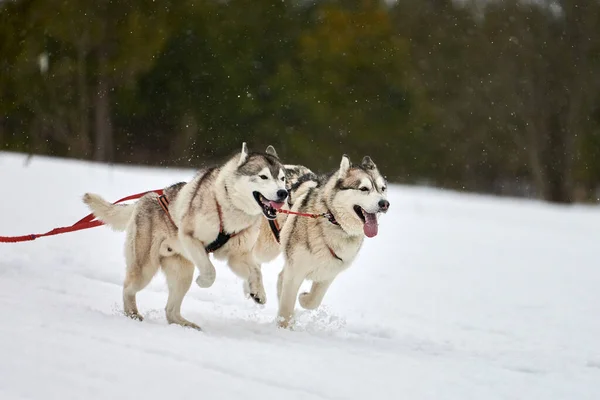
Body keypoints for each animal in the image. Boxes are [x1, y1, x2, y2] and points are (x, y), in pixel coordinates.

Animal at [82, 142, 288, 330]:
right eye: (263, 176)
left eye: (283, 178)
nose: (283, 193)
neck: (231, 207)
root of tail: (144, 199)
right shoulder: (190, 237)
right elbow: (210, 271)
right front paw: (203, 282)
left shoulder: (237, 256)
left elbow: (256, 271)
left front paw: (258, 293)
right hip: (145, 269)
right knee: (128, 288)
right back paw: (132, 313)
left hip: (181, 273)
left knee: (170, 311)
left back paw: (185, 324)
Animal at [276, 155, 390, 326]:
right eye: (364, 189)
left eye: (382, 189)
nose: (384, 204)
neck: (333, 220)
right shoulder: (295, 271)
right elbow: (287, 306)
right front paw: (283, 327)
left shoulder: (329, 273)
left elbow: (313, 301)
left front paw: (303, 298)